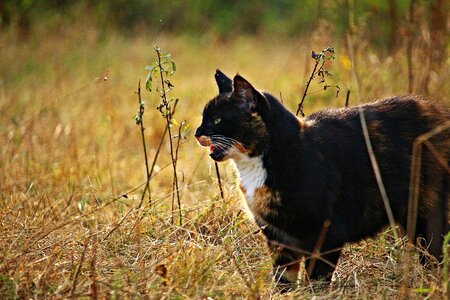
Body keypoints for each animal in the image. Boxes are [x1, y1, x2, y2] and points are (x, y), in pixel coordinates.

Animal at [194, 69, 450, 288]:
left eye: (216, 120)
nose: (197, 132)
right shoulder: (278, 236)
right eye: (203, 117)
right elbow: (283, 277)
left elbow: (317, 276)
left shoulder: (327, 231)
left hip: (428, 215)